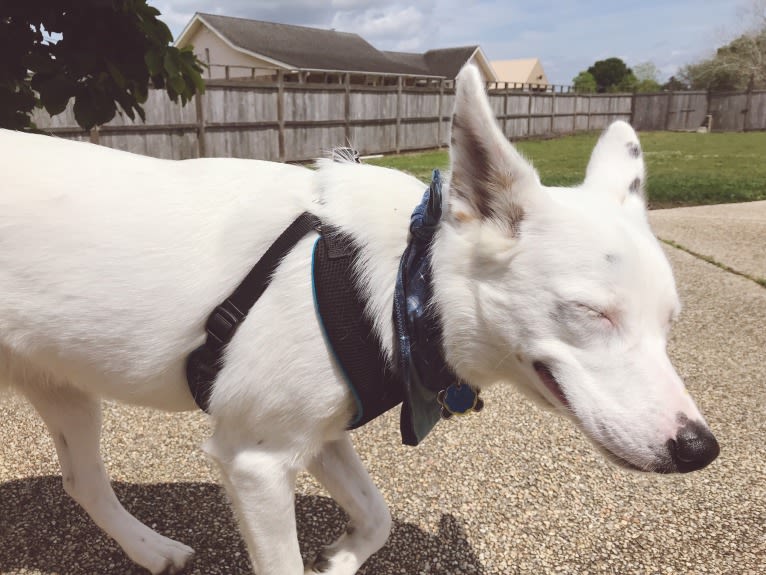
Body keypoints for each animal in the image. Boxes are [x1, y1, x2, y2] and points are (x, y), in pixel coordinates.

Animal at [0, 65, 720, 572]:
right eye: (590, 312)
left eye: (670, 323)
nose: (700, 448)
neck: (405, 273)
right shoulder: (256, 462)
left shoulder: (321, 434)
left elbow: (378, 517)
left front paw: (341, 557)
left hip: (64, 389)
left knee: (83, 482)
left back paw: (153, 550)